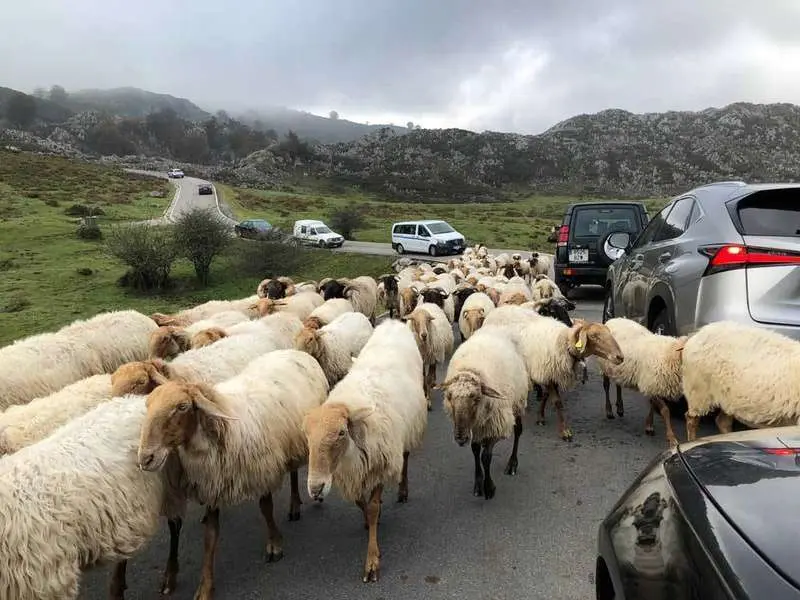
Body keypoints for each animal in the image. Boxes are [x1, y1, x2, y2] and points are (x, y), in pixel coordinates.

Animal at [137, 349, 329, 600]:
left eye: (182, 406)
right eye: (148, 404)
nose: (145, 458)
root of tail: (294, 351)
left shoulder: (261, 469)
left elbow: (266, 508)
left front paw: (274, 544)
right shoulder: (212, 482)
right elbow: (210, 536)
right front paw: (205, 587)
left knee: (295, 471)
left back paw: (295, 505)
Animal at [303, 319, 427, 583]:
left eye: (341, 433)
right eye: (306, 436)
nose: (315, 489)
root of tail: (393, 322)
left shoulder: (381, 464)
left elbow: (372, 507)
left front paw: (372, 560)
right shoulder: (352, 473)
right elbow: (361, 503)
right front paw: (368, 522)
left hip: (407, 429)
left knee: (405, 458)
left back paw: (403, 489)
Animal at [437, 325, 529, 499]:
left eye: (476, 398)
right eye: (449, 397)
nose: (460, 438)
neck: (471, 370)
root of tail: (498, 327)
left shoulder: (497, 425)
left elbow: (485, 457)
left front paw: (489, 487)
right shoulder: (474, 426)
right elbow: (475, 450)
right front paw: (478, 483)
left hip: (518, 401)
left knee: (518, 431)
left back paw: (512, 464)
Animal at [595, 318, 687, 446]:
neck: (670, 354)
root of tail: (613, 320)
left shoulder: (652, 384)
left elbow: (653, 405)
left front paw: (649, 426)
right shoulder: (651, 383)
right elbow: (665, 410)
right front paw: (671, 438)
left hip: (618, 367)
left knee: (618, 385)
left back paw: (620, 407)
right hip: (605, 366)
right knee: (606, 386)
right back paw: (609, 411)